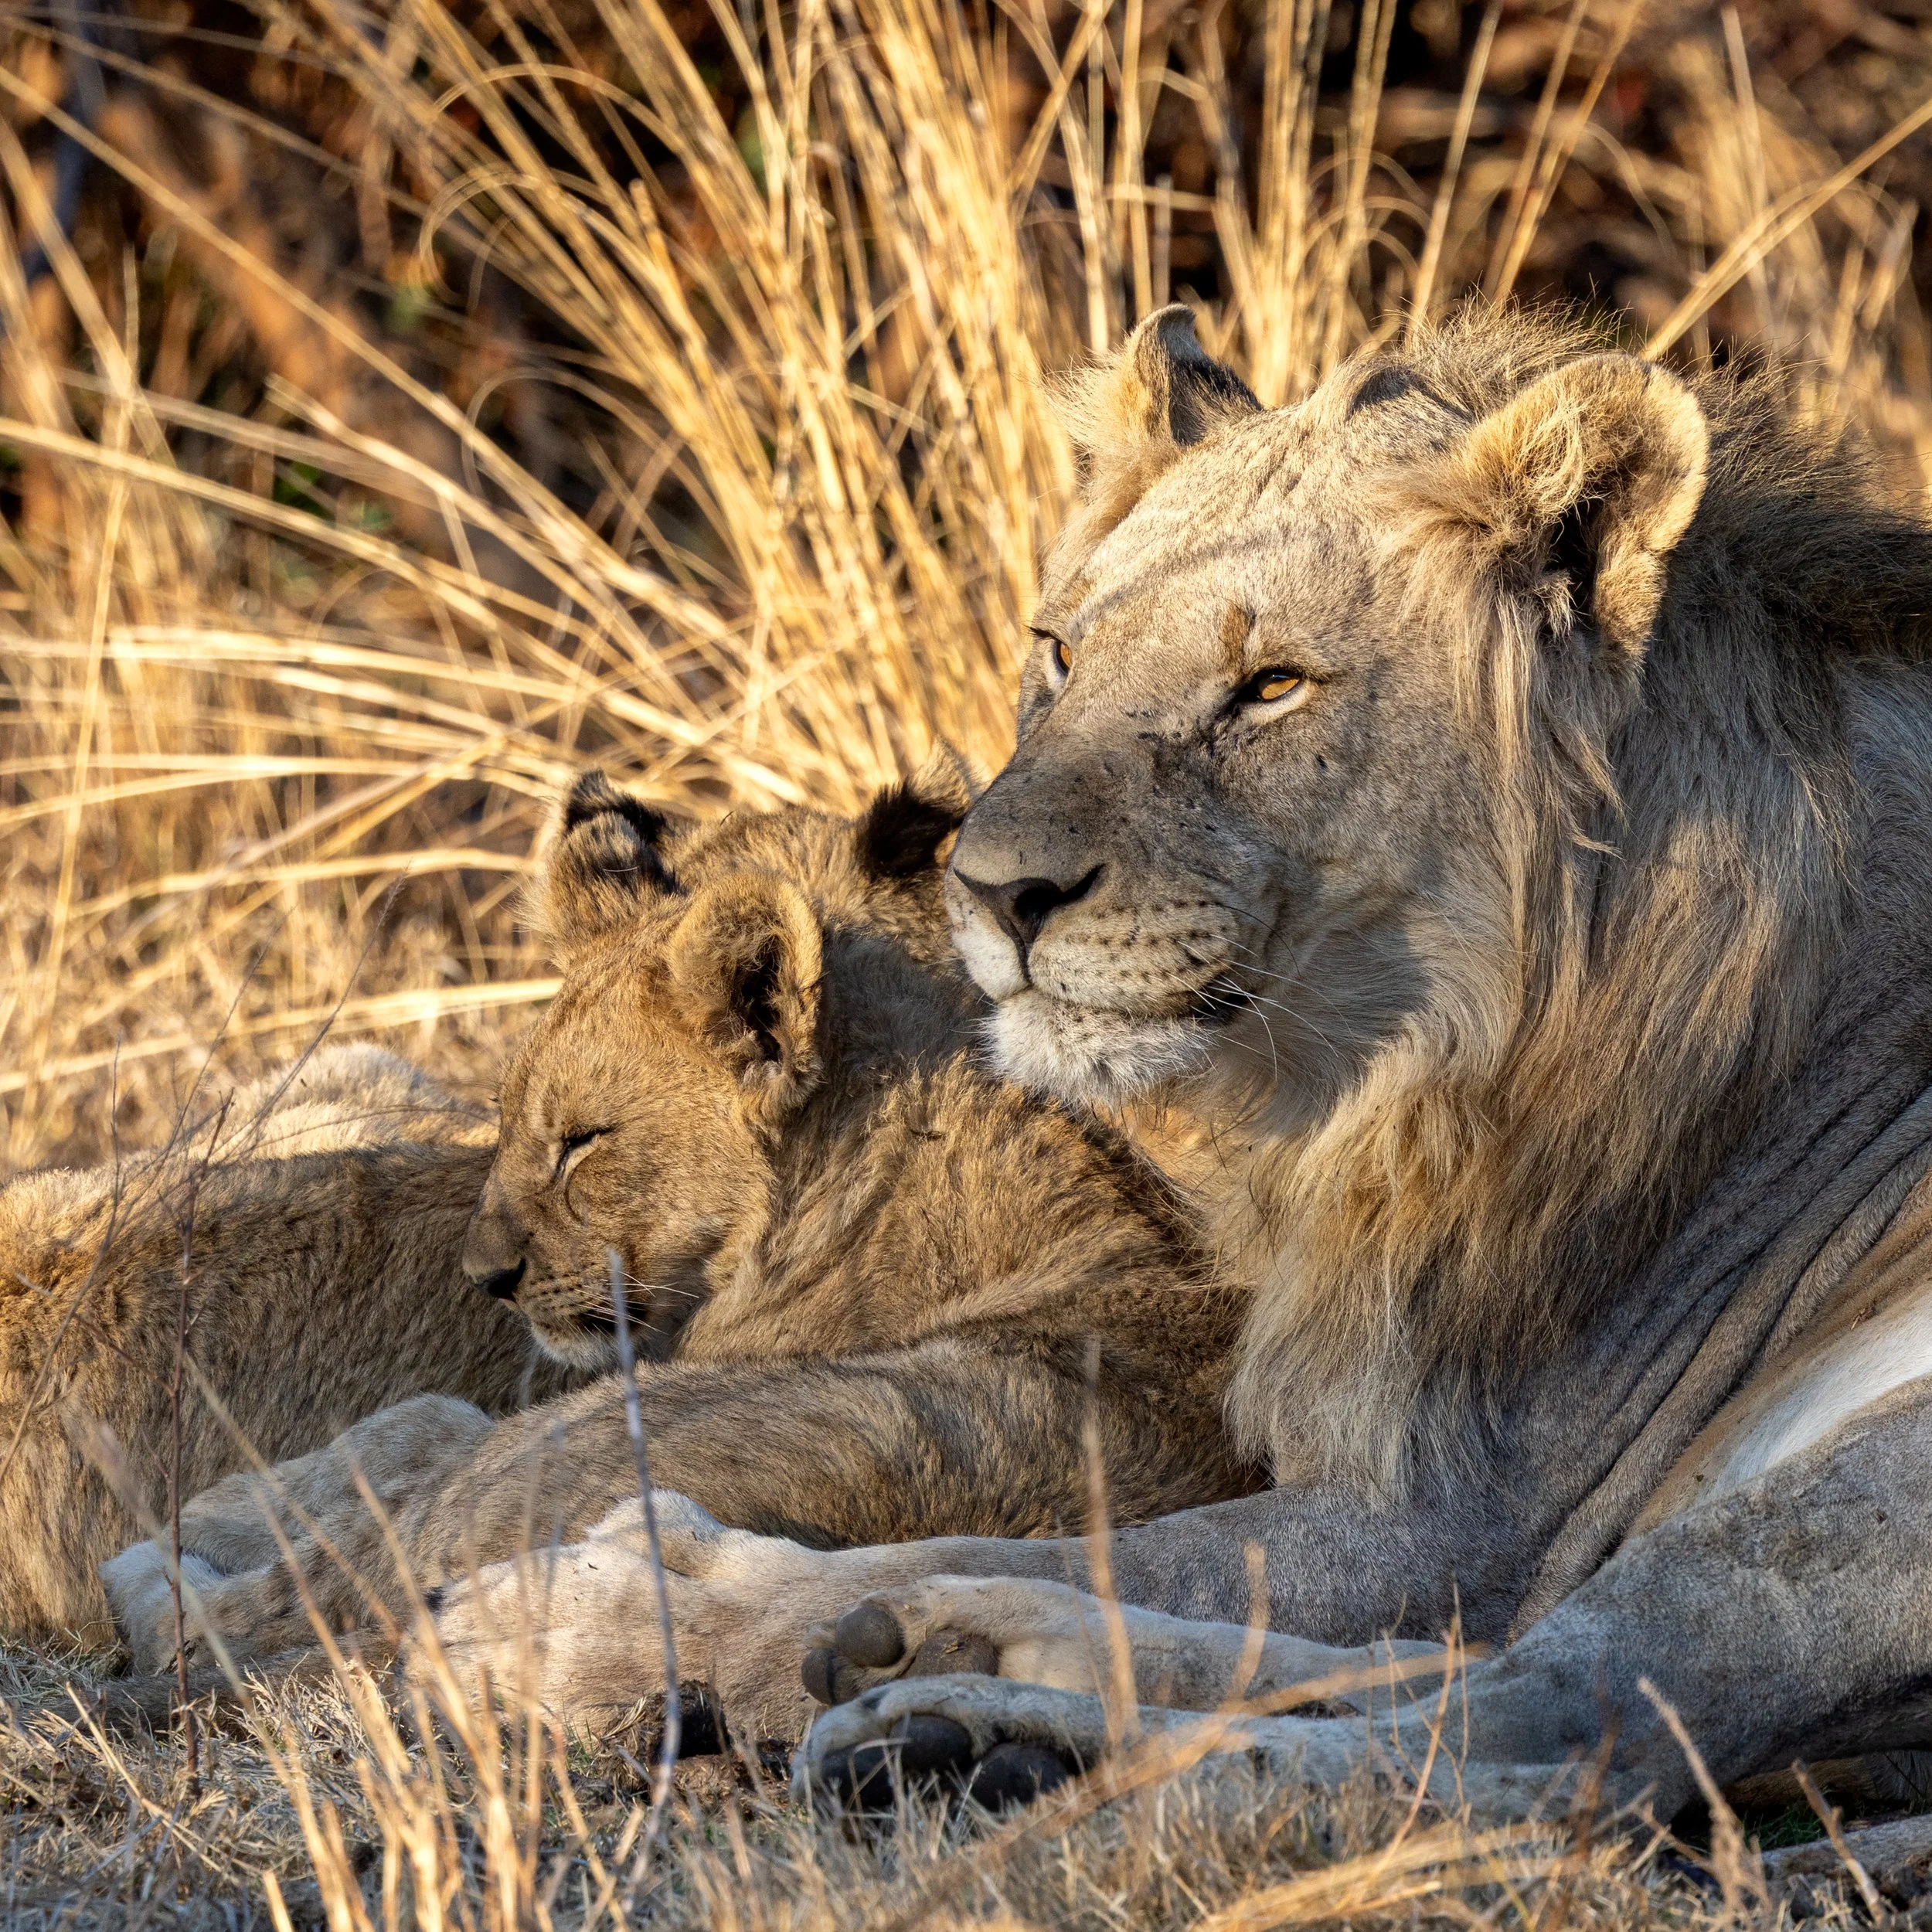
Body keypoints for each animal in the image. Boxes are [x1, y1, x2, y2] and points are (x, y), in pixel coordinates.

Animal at [372, 304, 1932, 1823]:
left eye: (1273, 685)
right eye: (1060, 652)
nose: (992, 890)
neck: (1399, 1070)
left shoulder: (1461, 1517)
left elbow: (1141, 1552)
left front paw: (571, 1618)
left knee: (1545, 1740)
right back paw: (955, 1704)